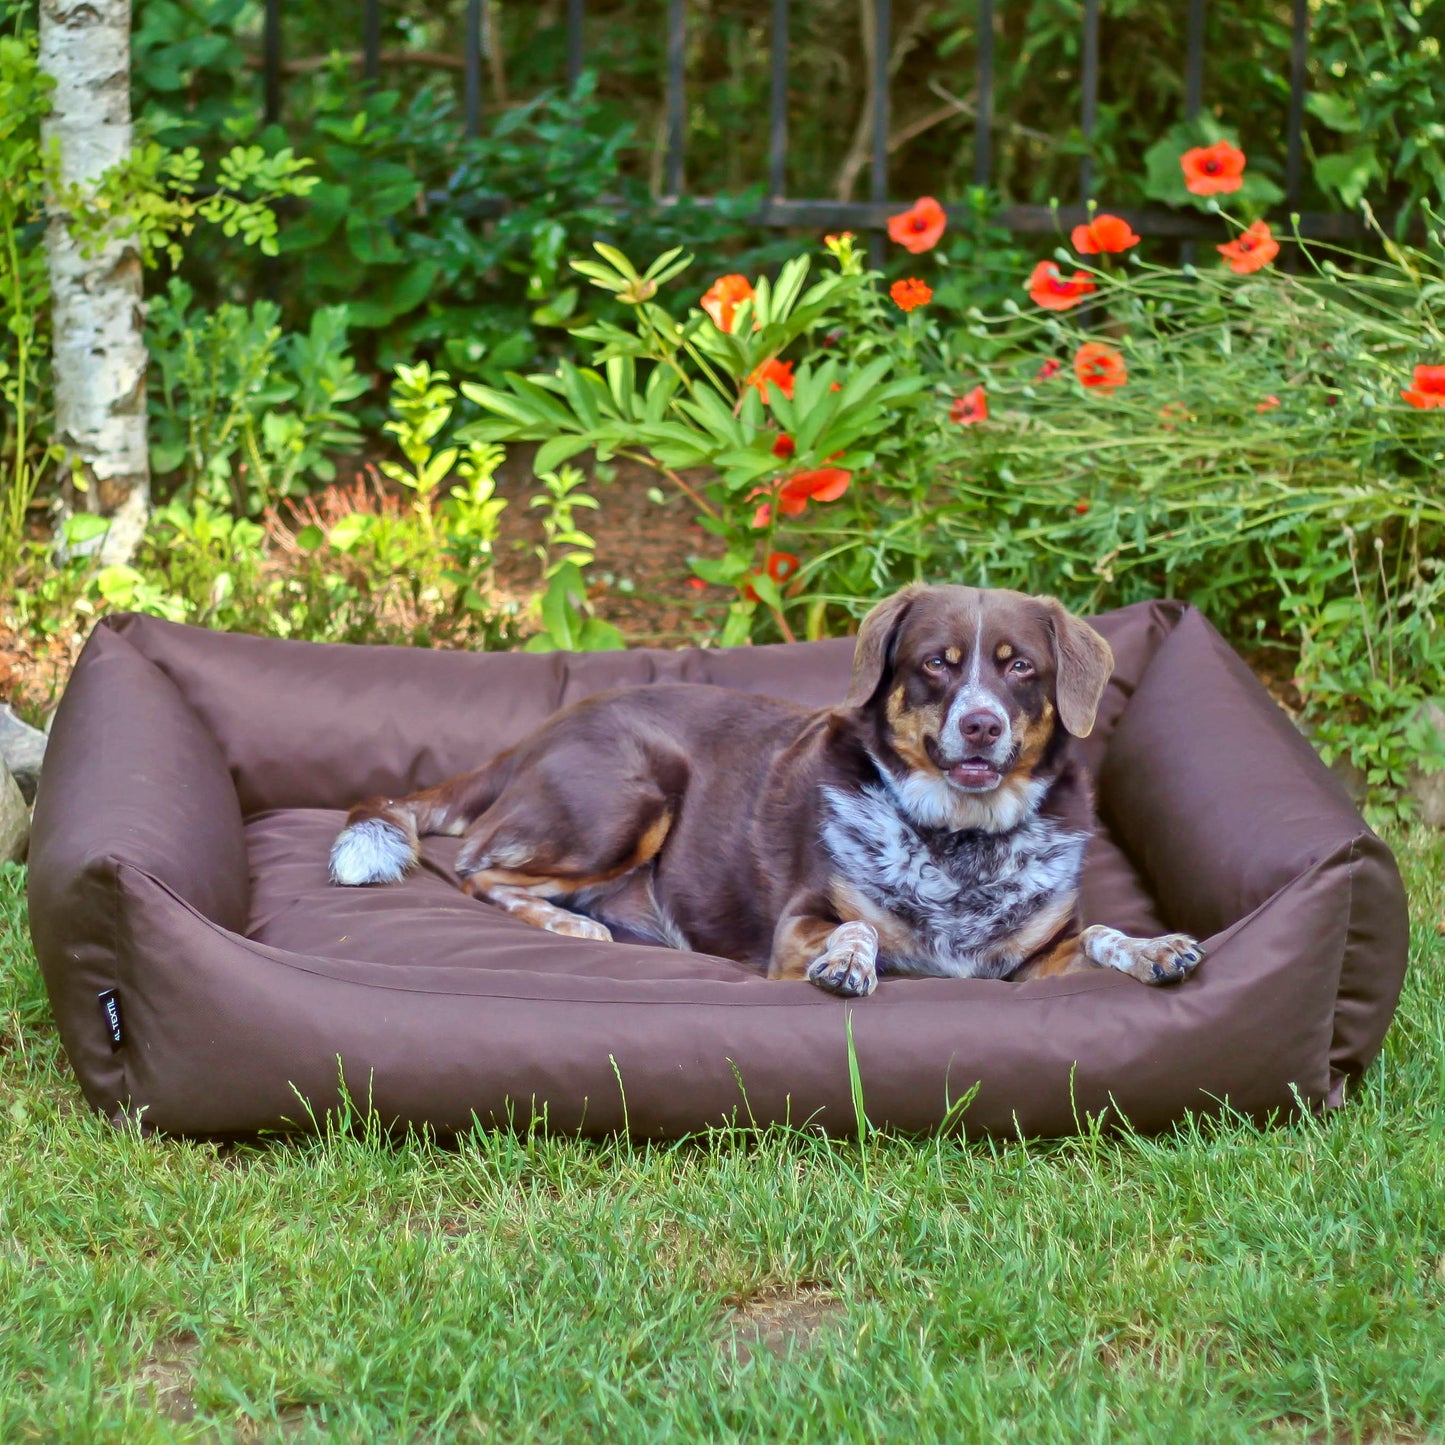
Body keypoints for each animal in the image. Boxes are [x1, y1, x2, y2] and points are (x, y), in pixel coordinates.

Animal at [332, 583, 1202, 994]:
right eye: (937, 663)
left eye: (1020, 665)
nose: (982, 724)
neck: (958, 842)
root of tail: (529, 738)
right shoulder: (798, 927)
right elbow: (856, 929)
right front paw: (849, 961)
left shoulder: (1030, 964)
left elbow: (1100, 935)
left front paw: (1151, 947)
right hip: (630, 800)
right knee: (477, 867)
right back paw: (568, 923)